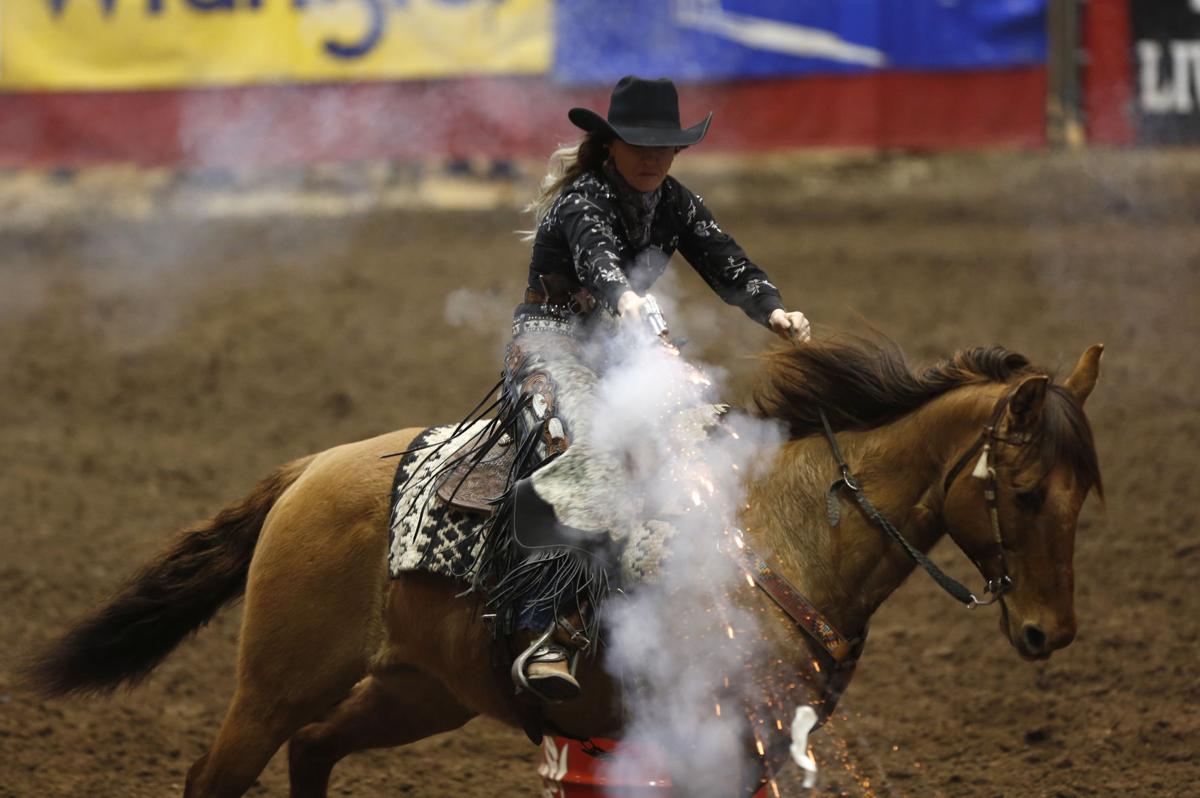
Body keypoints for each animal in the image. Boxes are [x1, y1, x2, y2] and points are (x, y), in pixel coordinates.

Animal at [21, 338, 1104, 792]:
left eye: (1084, 497)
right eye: (1026, 492)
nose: (1051, 633)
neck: (782, 529)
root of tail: (310, 469)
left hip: (420, 692)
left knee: (316, 751)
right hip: (274, 682)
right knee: (220, 773)